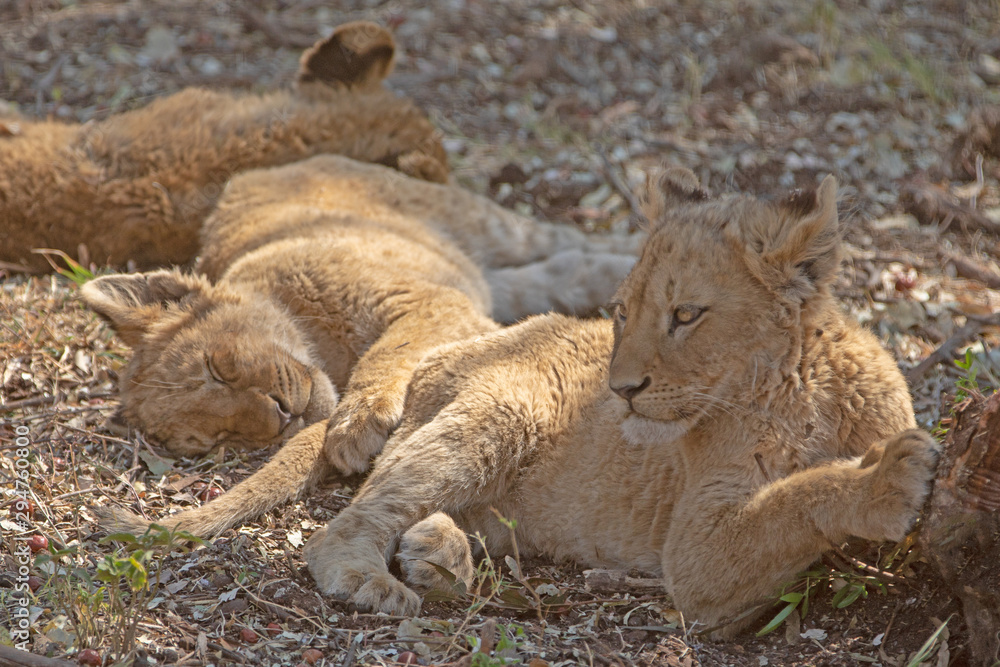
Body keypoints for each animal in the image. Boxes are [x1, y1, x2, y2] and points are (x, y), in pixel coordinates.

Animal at [84, 153, 641, 531]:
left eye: (218, 368)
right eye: (218, 440)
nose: (281, 416)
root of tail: (265, 169)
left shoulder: (425, 300)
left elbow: (388, 353)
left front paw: (357, 425)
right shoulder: (458, 304)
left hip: (482, 223)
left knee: (565, 238)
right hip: (487, 274)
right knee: (560, 271)